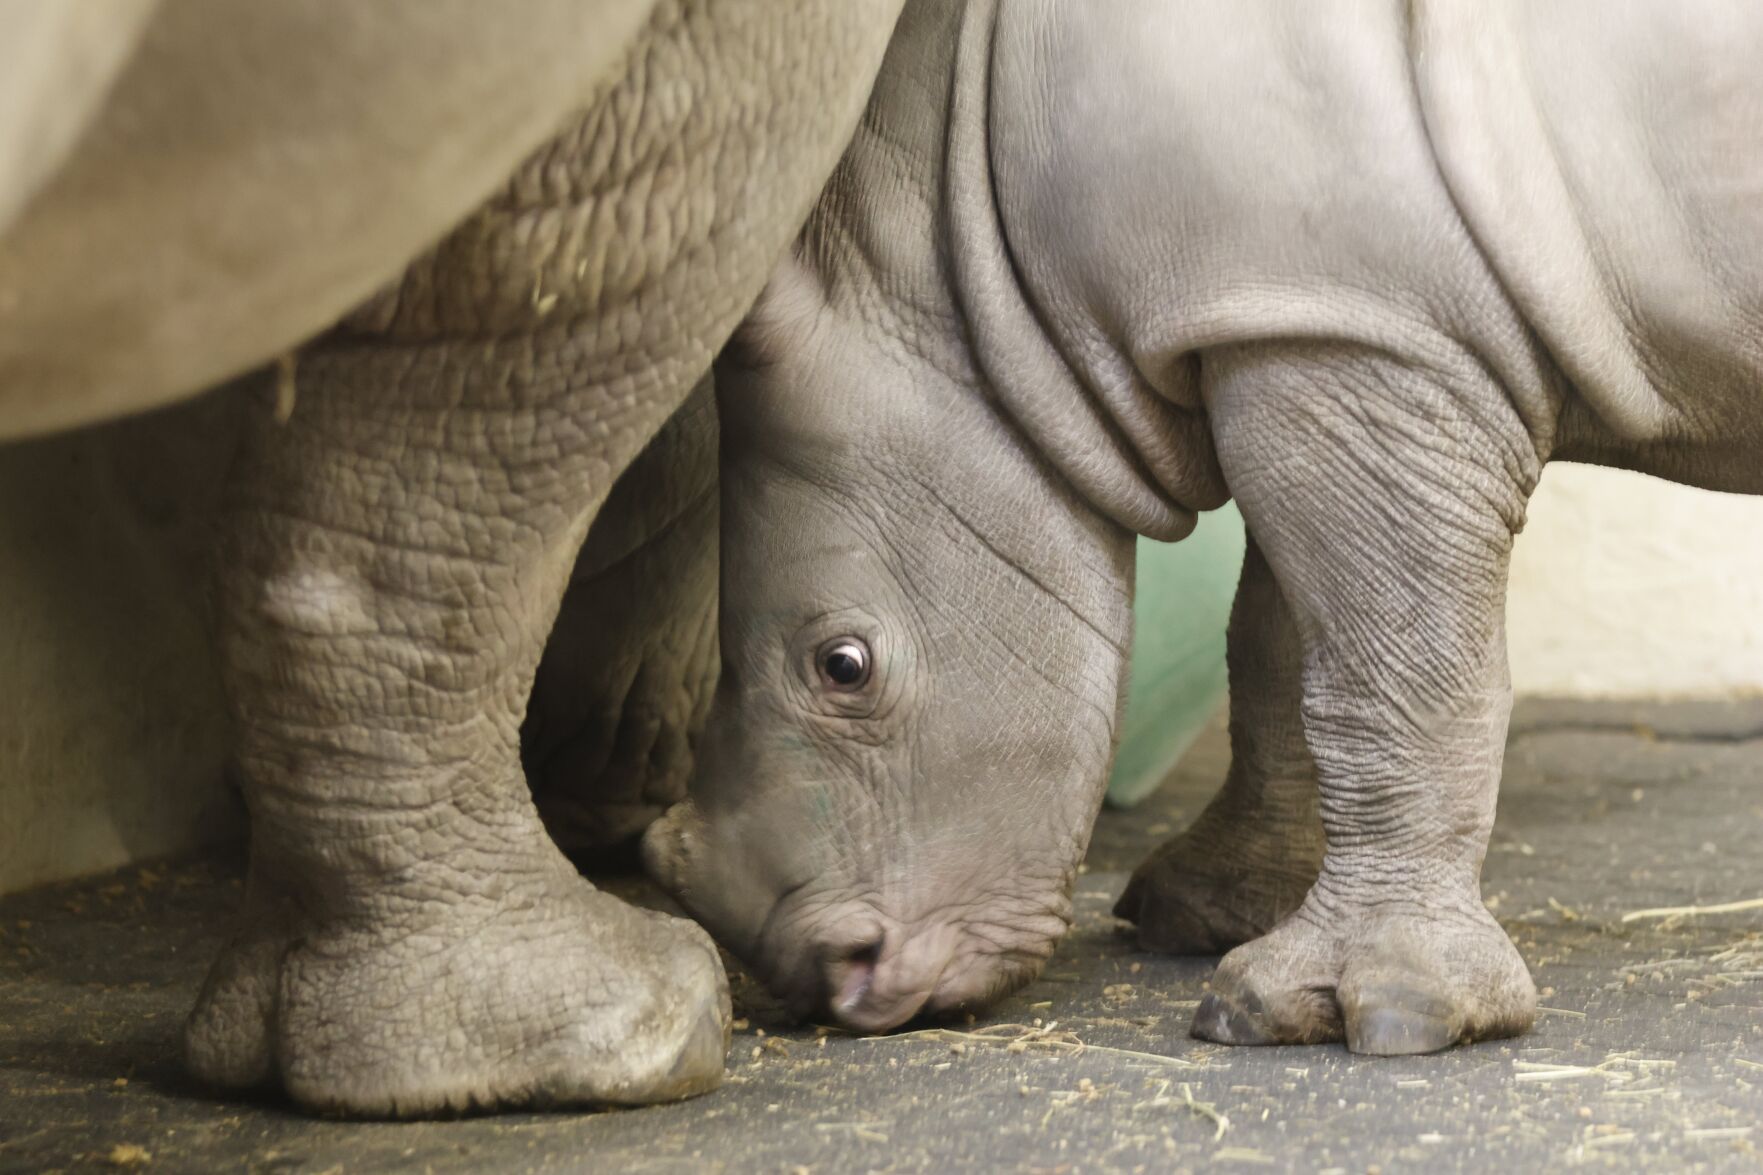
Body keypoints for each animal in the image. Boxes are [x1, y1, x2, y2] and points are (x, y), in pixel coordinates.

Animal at [646, 0, 1763, 1055]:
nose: (826, 977)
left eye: (843, 665)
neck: (963, 269)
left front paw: (1374, 1011)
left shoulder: (1357, 326)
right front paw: (1208, 915)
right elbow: (1279, 651)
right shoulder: (1288, 327)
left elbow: (1388, 671)